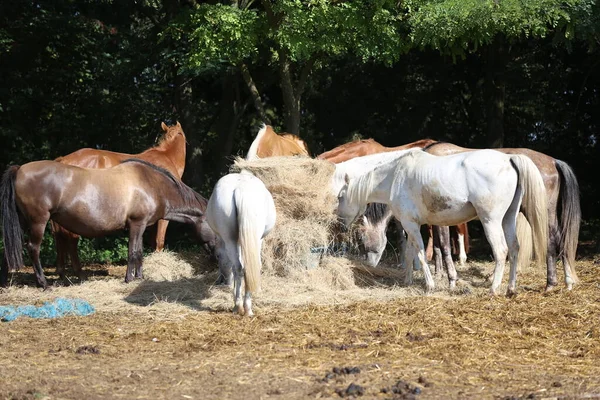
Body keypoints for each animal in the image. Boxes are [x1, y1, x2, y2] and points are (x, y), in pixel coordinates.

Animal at [0, 157, 216, 288]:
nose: (215, 257)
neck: (153, 184)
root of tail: (20, 169)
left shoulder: (141, 226)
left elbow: (139, 253)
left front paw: (139, 277)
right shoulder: (137, 224)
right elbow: (133, 252)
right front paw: (129, 278)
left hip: (22, 222)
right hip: (38, 222)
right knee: (33, 248)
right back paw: (43, 283)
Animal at [51, 121, 188, 278]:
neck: (167, 158)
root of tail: (64, 160)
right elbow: (159, 241)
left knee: (59, 237)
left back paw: (62, 272)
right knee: (71, 238)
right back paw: (79, 272)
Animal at [204, 170, 274, 318]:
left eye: (218, 256)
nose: (223, 281)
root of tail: (241, 190)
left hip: (230, 240)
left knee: (238, 267)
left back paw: (238, 306)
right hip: (253, 239)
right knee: (247, 267)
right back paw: (247, 307)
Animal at [338, 148, 548, 296]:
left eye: (340, 197)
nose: (339, 223)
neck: (395, 177)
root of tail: (509, 159)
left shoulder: (411, 225)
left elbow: (421, 254)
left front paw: (430, 285)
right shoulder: (412, 225)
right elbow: (410, 253)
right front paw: (407, 281)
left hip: (491, 221)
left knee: (501, 251)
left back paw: (494, 289)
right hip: (508, 219)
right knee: (514, 248)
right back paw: (511, 289)